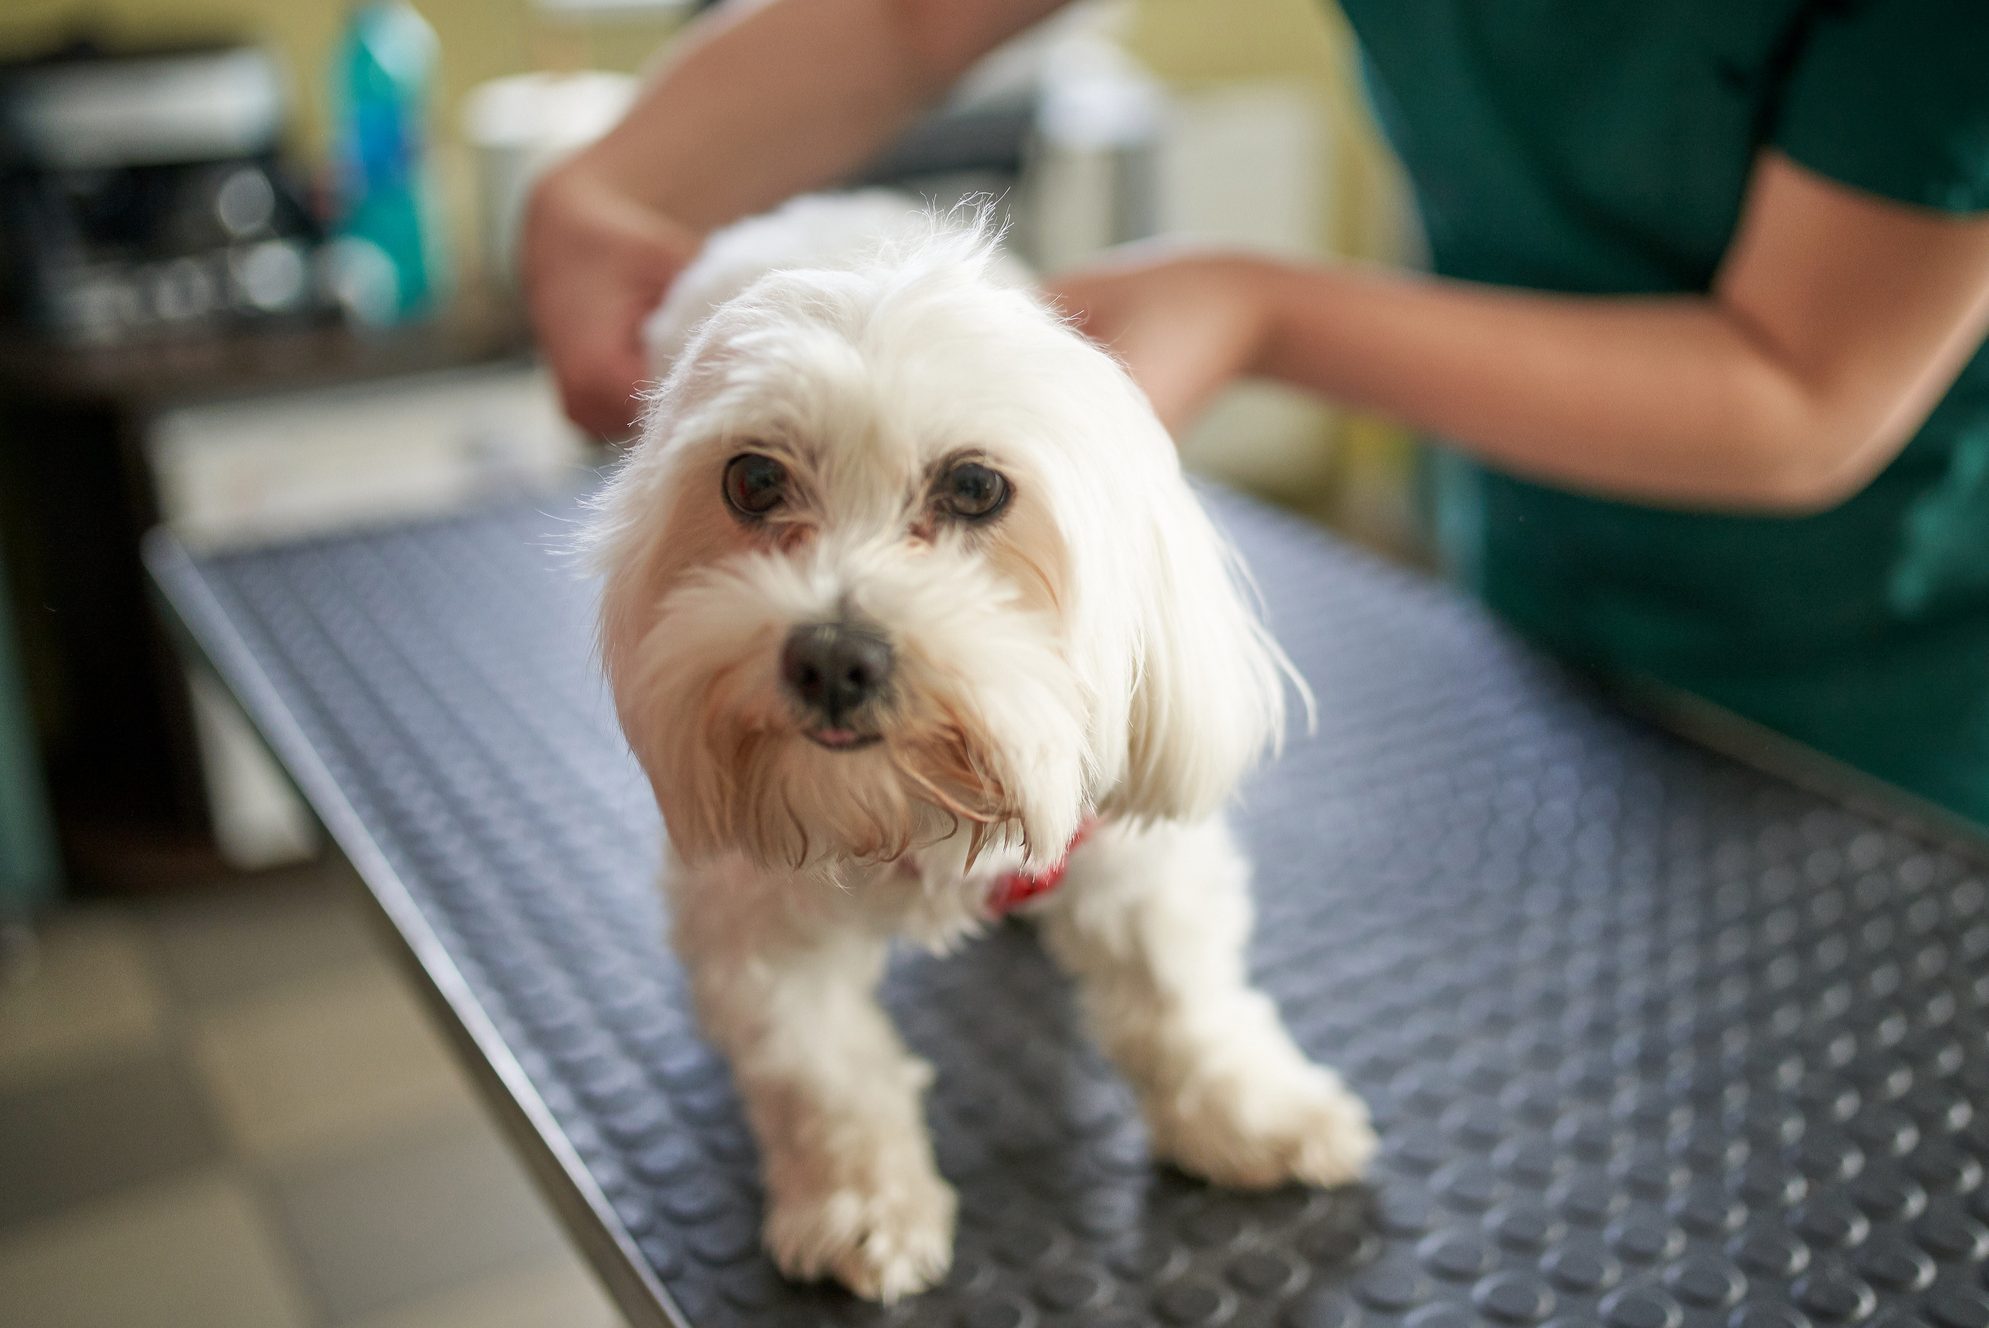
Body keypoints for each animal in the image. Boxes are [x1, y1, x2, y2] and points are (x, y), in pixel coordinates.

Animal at [588, 194, 1368, 1296]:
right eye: (752, 479)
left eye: (972, 487)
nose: (833, 657)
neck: (908, 809)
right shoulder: (755, 914)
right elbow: (823, 1070)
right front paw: (859, 1202)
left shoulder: (1133, 850)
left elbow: (1183, 996)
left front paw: (1250, 1113)